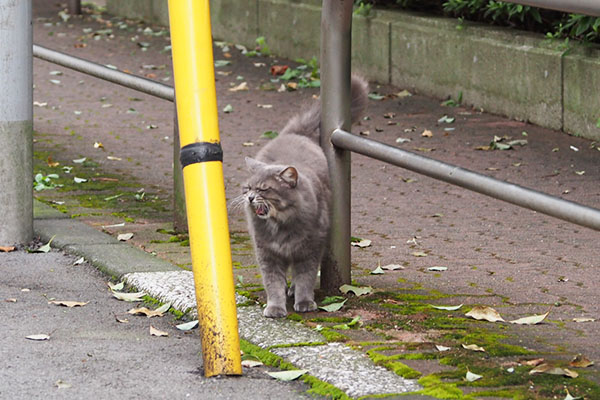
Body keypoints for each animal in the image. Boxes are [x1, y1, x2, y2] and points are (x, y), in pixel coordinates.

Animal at [231, 76, 368, 318]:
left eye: (264, 189)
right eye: (247, 188)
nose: (250, 198)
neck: (280, 226)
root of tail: (296, 134)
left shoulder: (309, 251)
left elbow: (305, 278)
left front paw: (304, 302)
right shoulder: (267, 254)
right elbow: (273, 283)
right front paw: (275, 308)